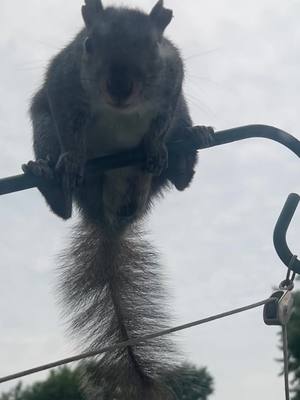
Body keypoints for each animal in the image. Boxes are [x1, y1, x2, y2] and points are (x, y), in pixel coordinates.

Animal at [22, 1, 211, 398]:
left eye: (155, 46)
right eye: (88, 44)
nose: (120, 87)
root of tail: (111, 219)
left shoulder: (174, 85)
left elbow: (159, 123)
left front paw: (154, 147)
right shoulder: (62, 87)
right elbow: (70, 131)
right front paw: (72, 159)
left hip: (177, 128)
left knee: (180, 178)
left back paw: (190, 145)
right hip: (43, 126)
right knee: (63, 207)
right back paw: (48, 177)